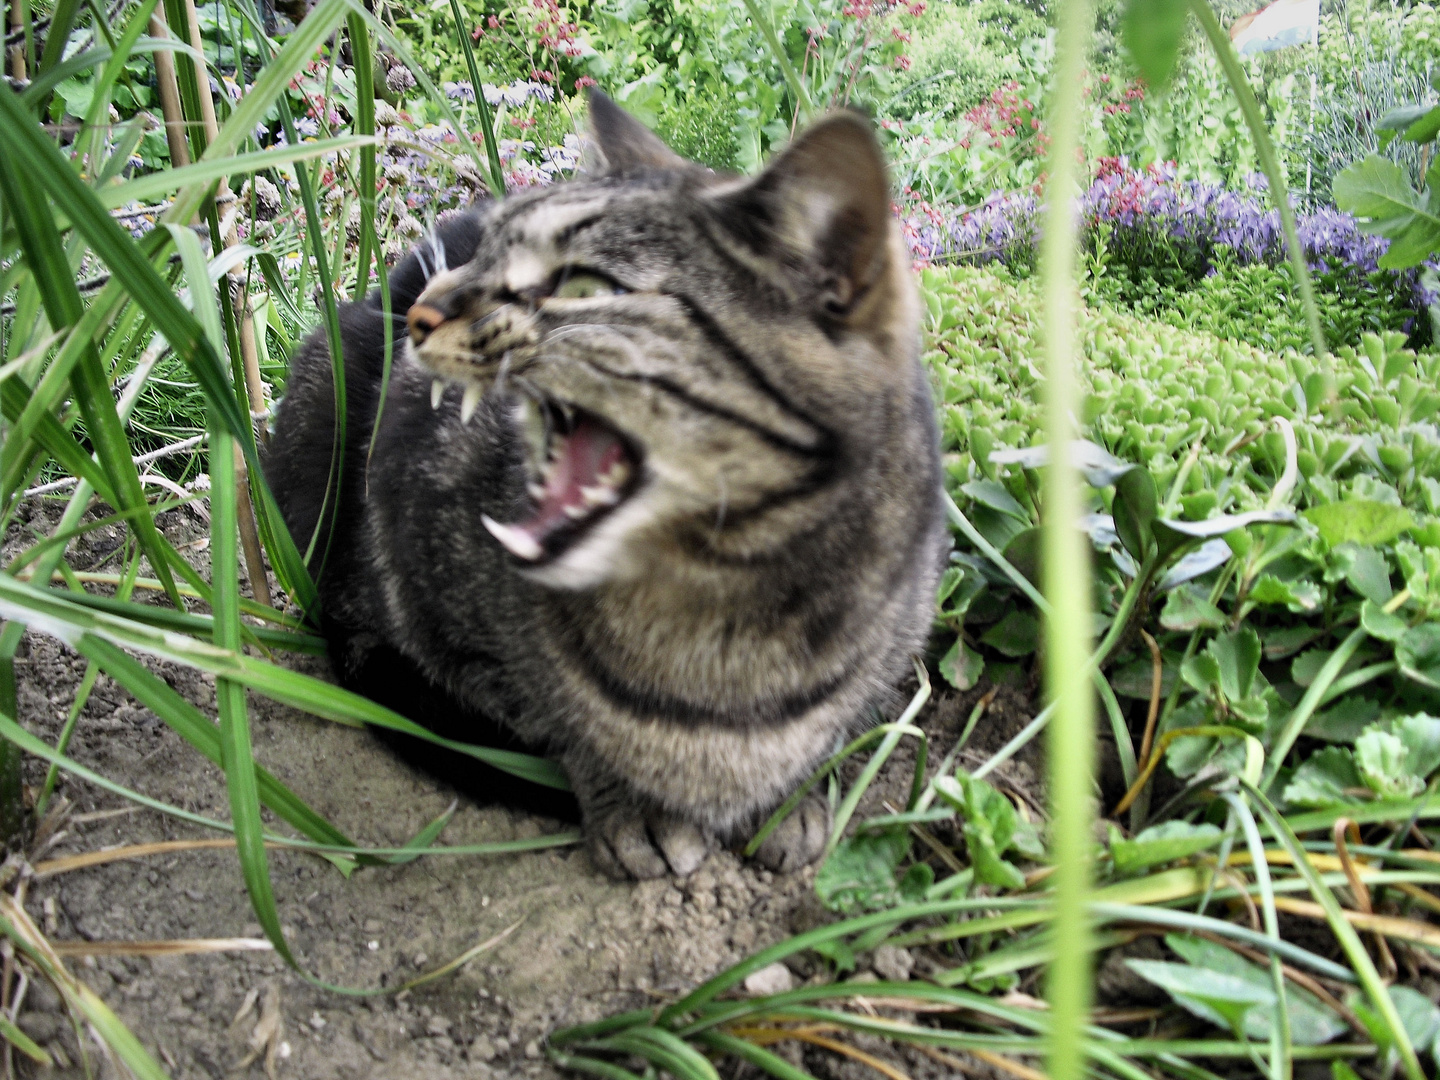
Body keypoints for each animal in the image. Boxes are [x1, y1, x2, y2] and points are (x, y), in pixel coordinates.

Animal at [264, 92, 950, 881]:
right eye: (484, 254)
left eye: (583, 286)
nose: (419, 312)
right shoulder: (414, 565)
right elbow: (555, 721)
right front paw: (635, 805)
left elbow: (833, 728)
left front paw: (794, 797)